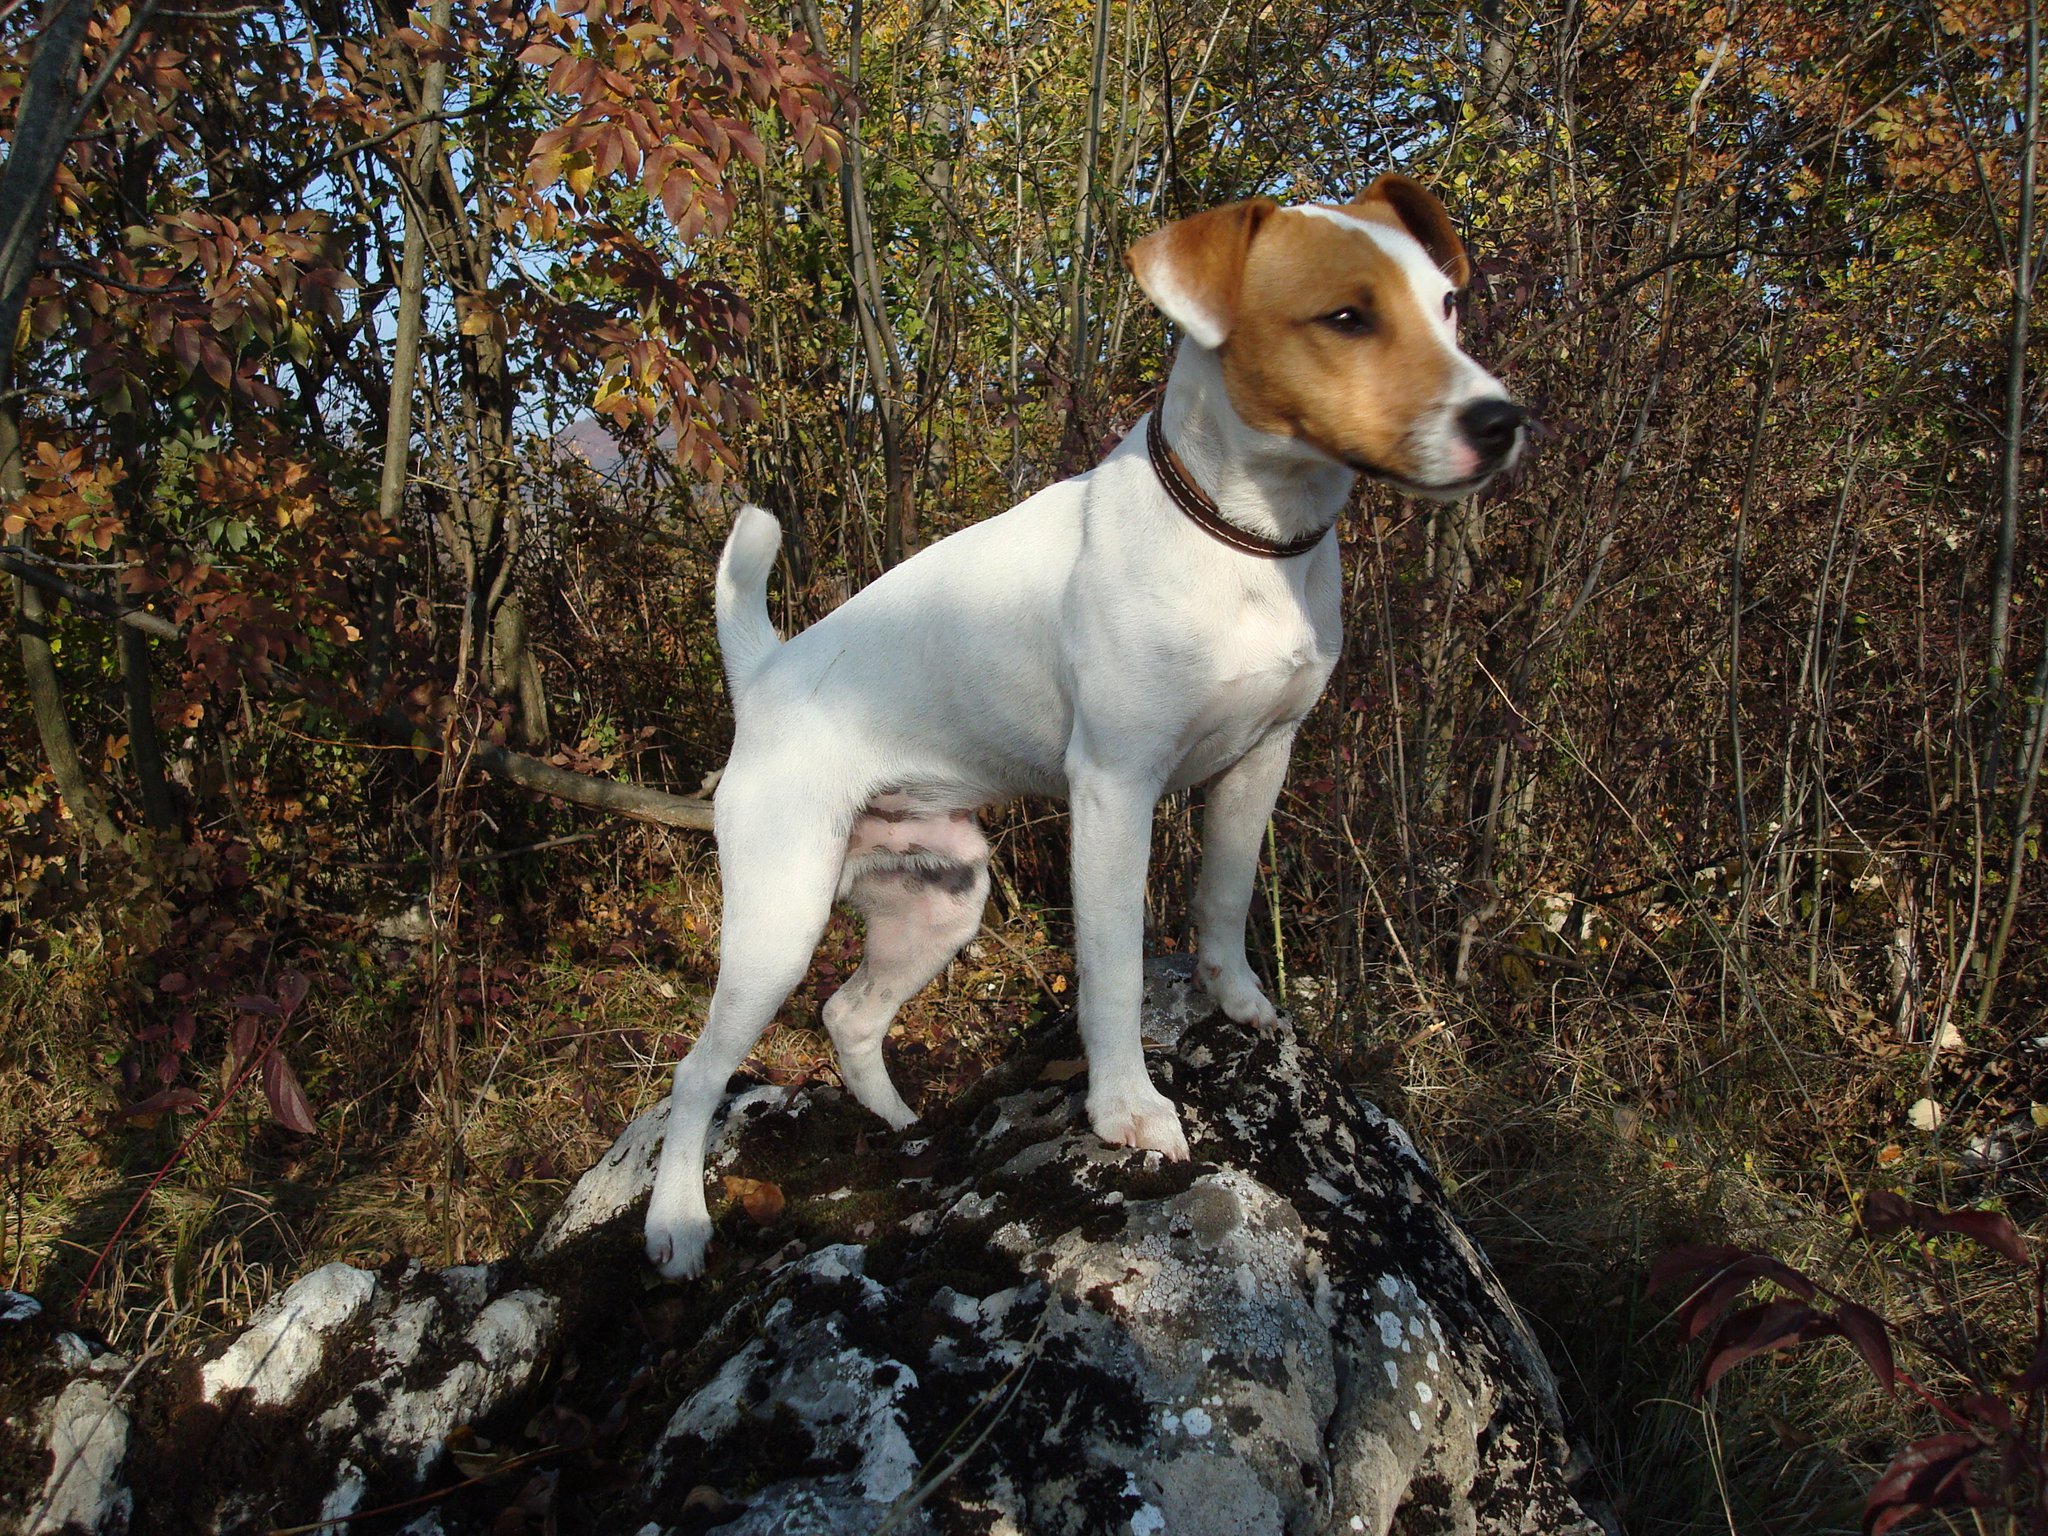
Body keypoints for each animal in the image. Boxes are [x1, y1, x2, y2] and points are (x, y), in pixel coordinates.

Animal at [647, 177, 1531, 1277]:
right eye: (1345, 317)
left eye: (1448, 304)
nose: (1501, 420)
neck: (1244, 541)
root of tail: (764, 675)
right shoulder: (1115, 789)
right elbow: (1110, 969)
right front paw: (1125, 1110)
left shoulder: (1259, 762)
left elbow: (1223, 898)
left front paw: (1238, 1002)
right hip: (779, 918)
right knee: (694, 1074)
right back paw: (676, 1221)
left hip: (941, 900)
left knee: (849, 1016)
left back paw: (903, 1130)